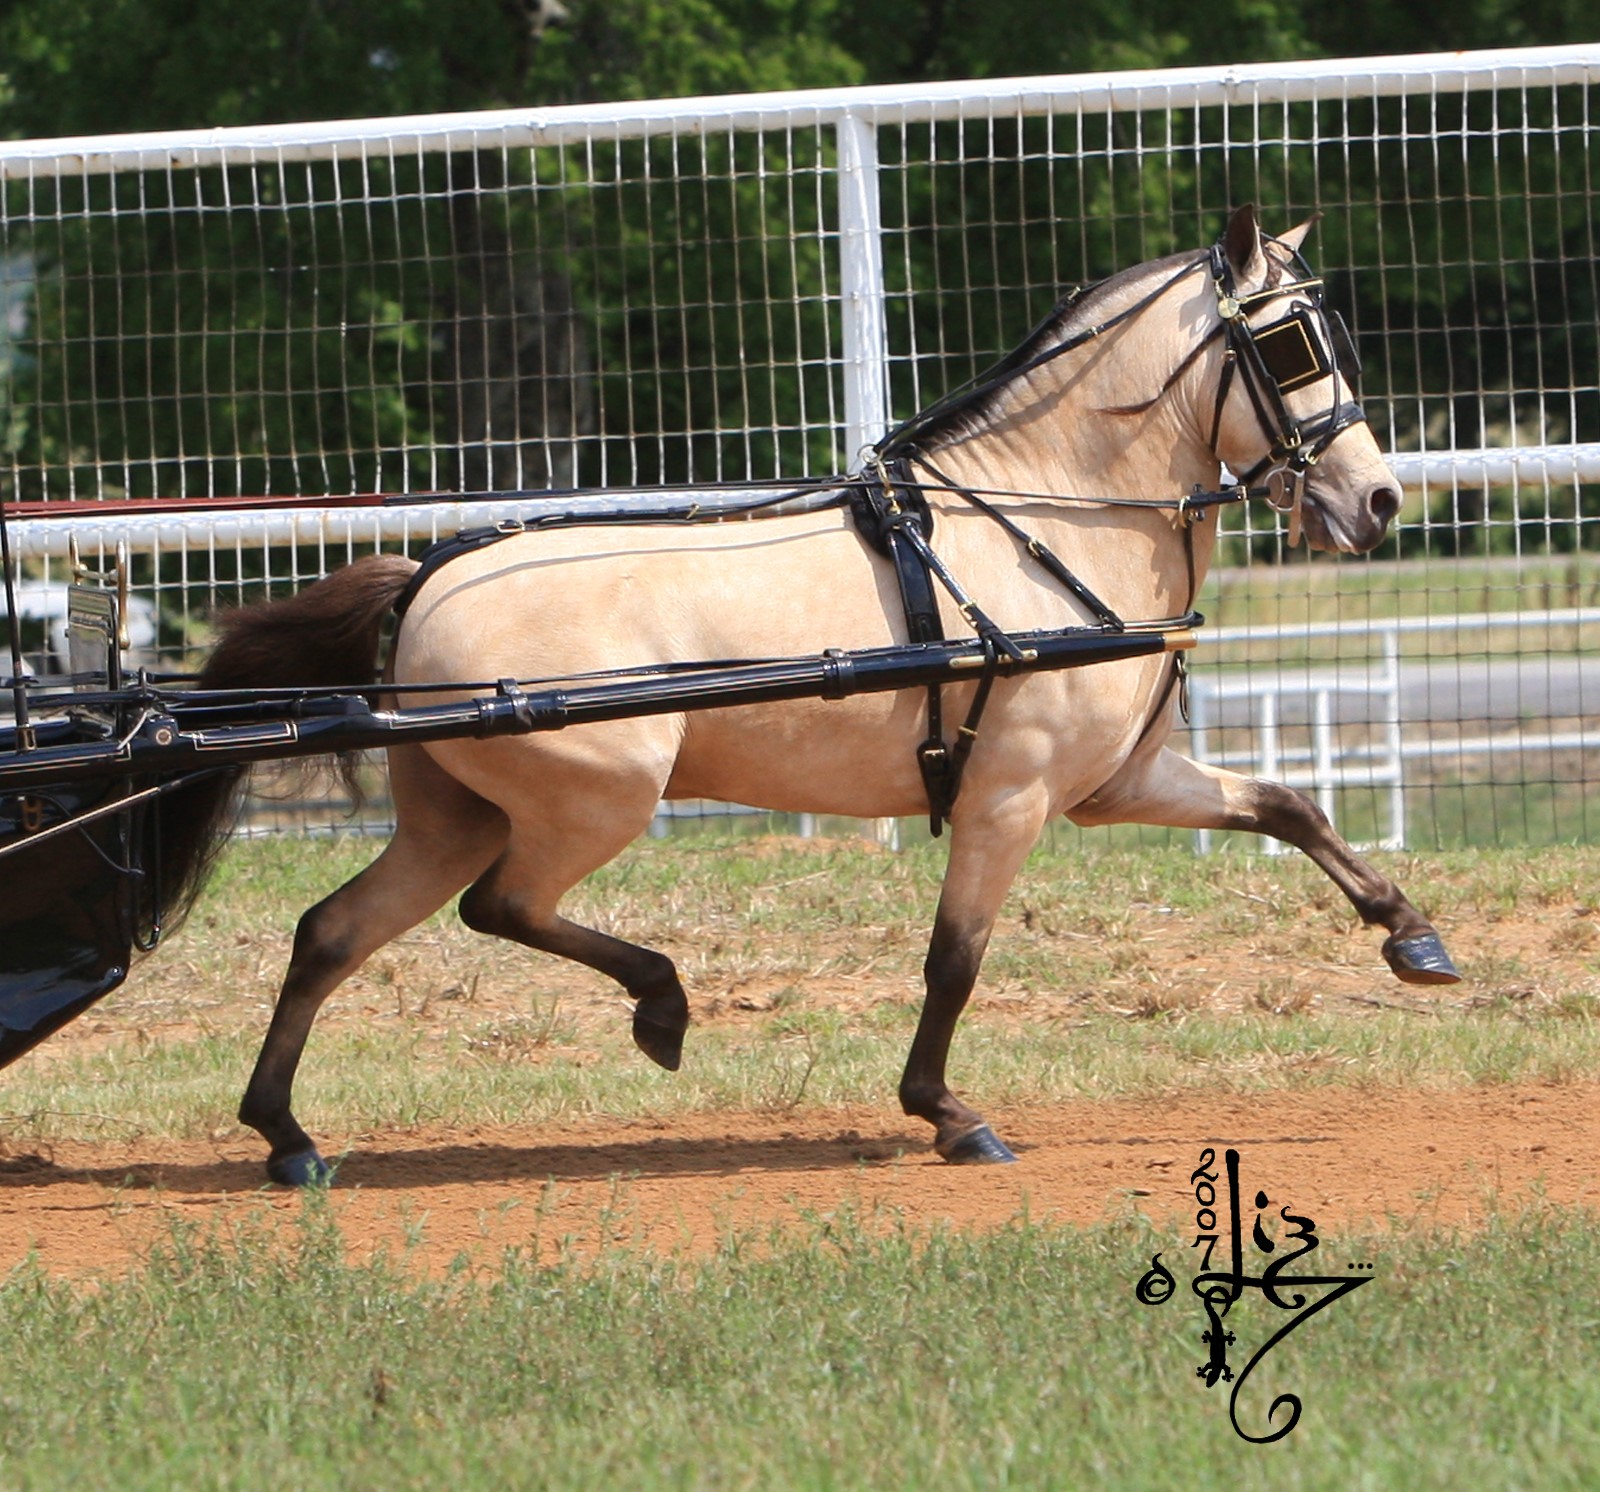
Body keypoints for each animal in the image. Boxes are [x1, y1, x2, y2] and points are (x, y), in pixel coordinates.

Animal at [162, 204, 1458, 1185]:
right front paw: (947, 1112)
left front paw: (1413, 937)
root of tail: (428, 572)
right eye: (1292, 346)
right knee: (501, 907)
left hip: (455, 813)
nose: (1380, 501)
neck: (1040, 520)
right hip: (596, 796)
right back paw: (662, 1006)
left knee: (335, 931)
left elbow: (1289, 807)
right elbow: (953, 960)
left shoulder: (1123, 781)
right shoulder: (1008, 797)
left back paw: (287, 1137)